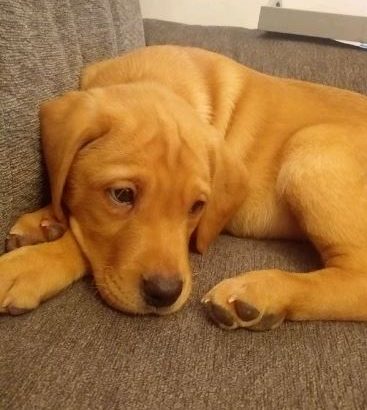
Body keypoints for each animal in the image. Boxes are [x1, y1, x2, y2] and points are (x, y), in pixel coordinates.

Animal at [0, 46, 367, 332]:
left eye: (197, 207)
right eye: (122, 195)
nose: (165, 294)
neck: (152, 74)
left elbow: (80, 244)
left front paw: (28, 265)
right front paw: (44, 220)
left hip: (309, 150)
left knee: (357, 280)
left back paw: (261, 293)